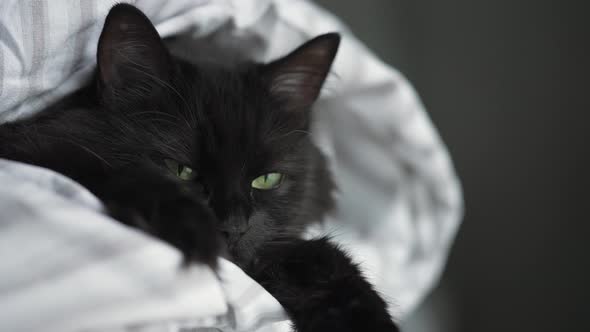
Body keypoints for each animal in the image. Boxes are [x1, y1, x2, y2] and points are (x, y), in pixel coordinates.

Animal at [0, 5, 400, 332]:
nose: (234, 227)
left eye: (267, 179)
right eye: (182, 170)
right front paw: (190, 228)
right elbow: (116, 171)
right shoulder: (29, 147)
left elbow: (324, 258)